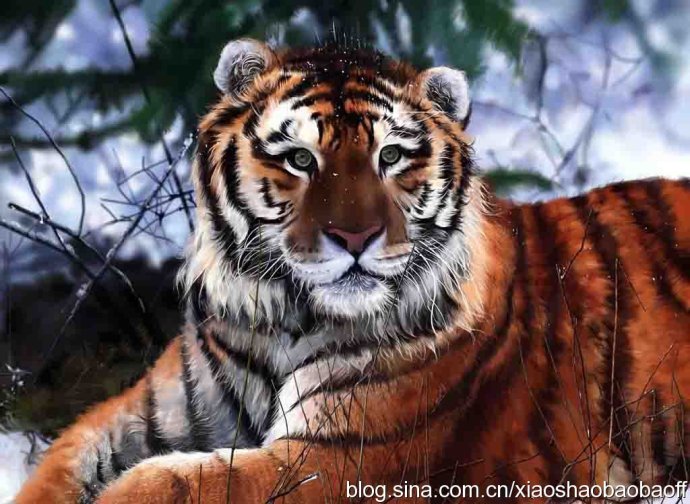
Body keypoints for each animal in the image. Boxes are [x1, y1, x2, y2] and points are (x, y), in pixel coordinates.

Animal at [16, 39, 690, 504]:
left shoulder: (342, 458)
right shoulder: (151, 412)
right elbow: (61, 463)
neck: (284, 317)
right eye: (298, 159)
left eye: (390, 156)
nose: (355, 237)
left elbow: (167, 483)